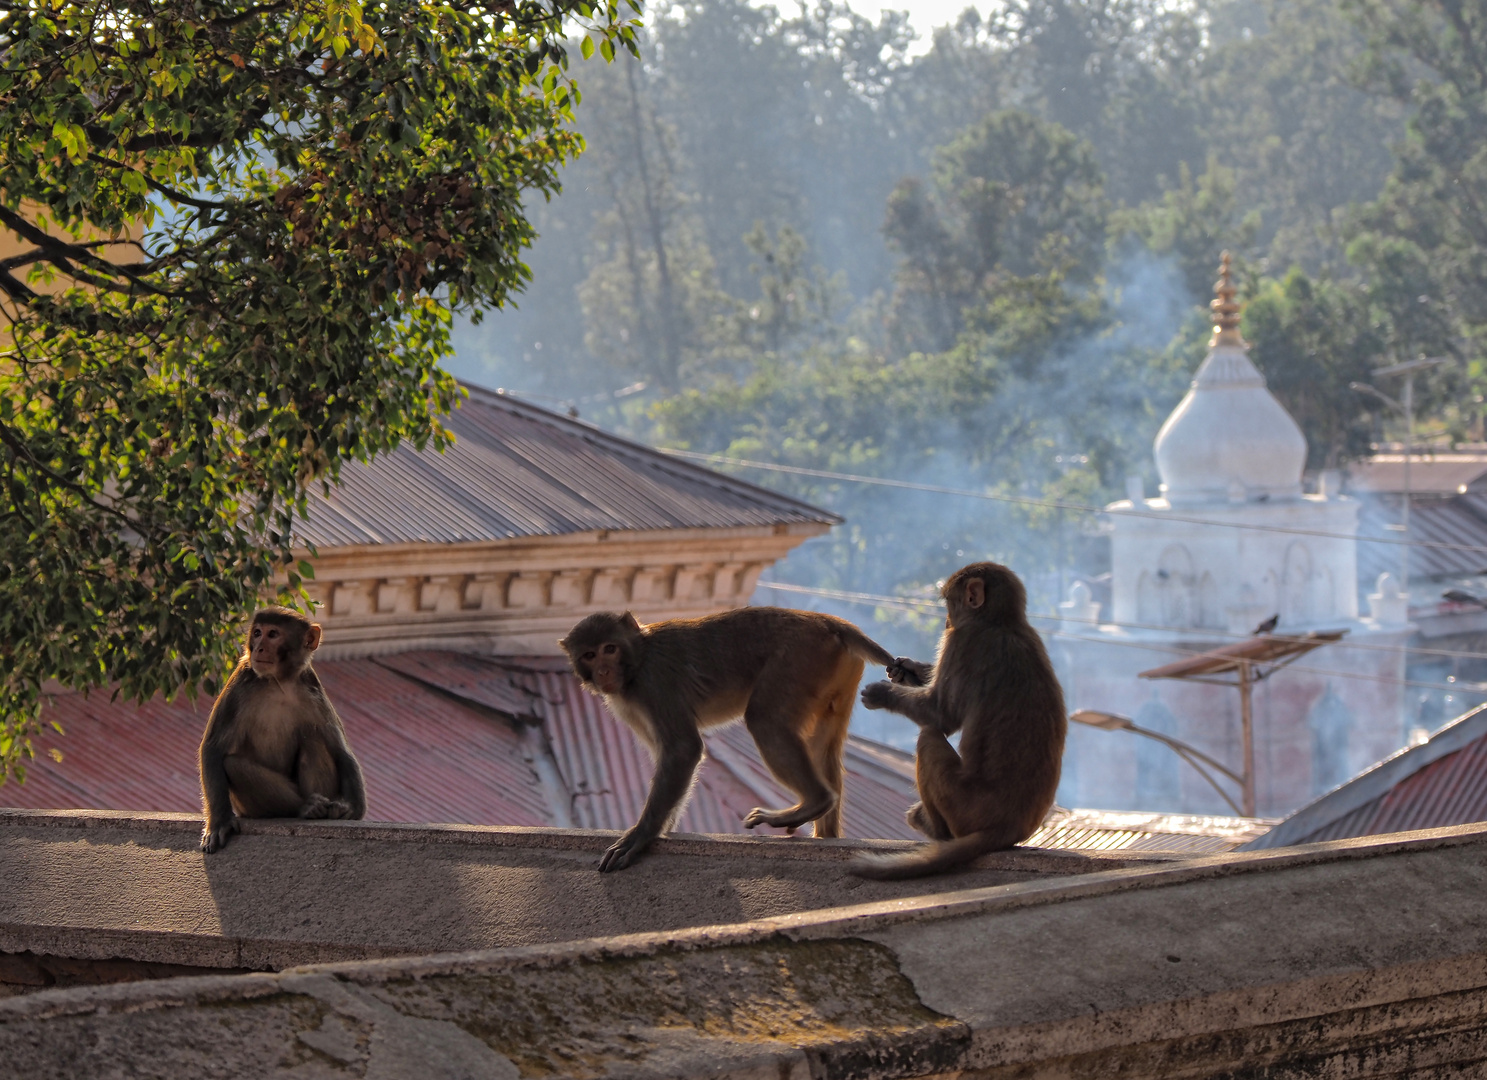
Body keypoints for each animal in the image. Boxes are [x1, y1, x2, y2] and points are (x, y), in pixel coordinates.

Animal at [197, 609, 365, 856]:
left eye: (273, 634)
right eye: (257, 633)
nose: (258, 648)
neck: (279, 682)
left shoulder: (312, 687)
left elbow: (339, 749)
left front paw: (354, 807)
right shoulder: (240, 682)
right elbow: (213, 748)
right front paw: (219, 822)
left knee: (314, 740)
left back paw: (317, 810)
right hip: (246, 807)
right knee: (232, 764)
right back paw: (304, 807)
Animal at [559, 609, 892, 868]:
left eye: (610, 648)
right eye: (589, 655)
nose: (603, 671)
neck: (638, 658)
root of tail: (830, 622)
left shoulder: (655, 684)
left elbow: (683, 750)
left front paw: (642, 836)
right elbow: (668, 754)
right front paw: (663, 829)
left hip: (801, 660)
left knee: (764, 720)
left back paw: (814, 801)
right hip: (837, 674)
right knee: (823, 746)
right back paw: (826, 833)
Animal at [856, 568, 1064, 880]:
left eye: (949, 603)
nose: (946, 621)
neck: (1003, 623)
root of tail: (1010, 828)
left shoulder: (962, 641)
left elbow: (940, 715)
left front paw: (883, 693)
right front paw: (908, 670)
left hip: (963, 809)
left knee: (928, 738)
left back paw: (934, 828)